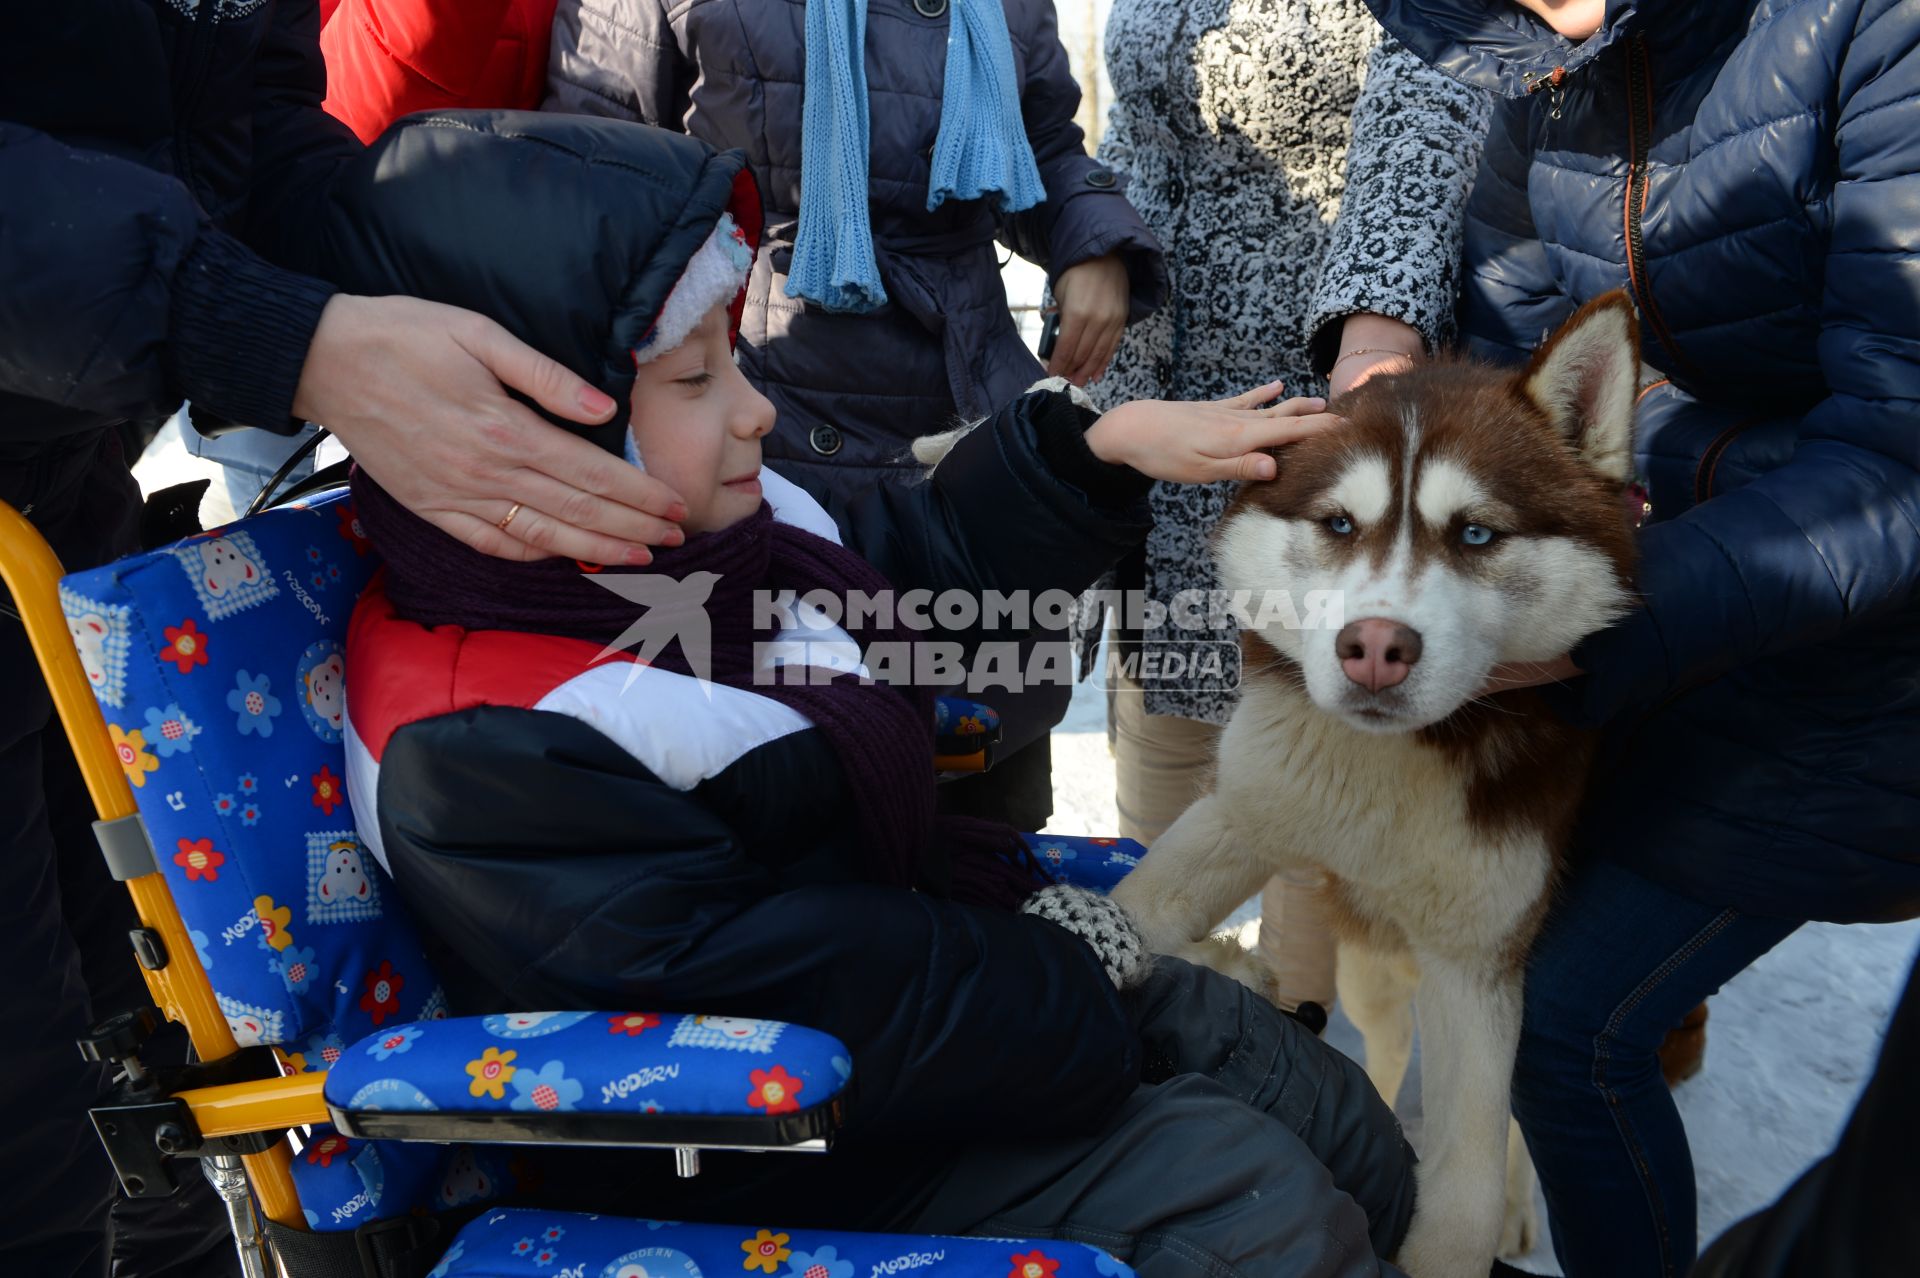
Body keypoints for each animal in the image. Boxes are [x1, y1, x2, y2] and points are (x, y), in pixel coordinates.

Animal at [1121, 291, 1643, 1274]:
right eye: (1337, 524)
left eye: (1475, 533)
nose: (1372, 647)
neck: (1393, 771)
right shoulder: (1244, 811)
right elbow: (1120, 915)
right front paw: (1222, 967)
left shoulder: (1480, 964)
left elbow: (1467, 1190)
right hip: (1367, 957)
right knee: (1389, 1044)